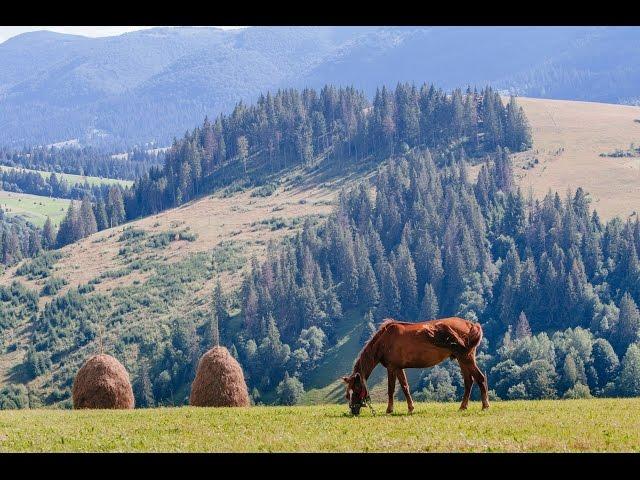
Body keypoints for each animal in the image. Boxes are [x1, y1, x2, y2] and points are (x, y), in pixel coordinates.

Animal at [342, 316, 488, 414]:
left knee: (480, 378)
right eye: (348, 392)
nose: (353, 411)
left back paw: (485, 405)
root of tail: (470, 325)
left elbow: (391, 389)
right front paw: (410, 408)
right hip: (461, 359)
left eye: (356, 388)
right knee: (469, 382)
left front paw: (389, 409)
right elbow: (405, 387)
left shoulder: (392, 368)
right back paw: (463, 406)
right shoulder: (399, 368)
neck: (385, 341)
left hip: (466, 358)